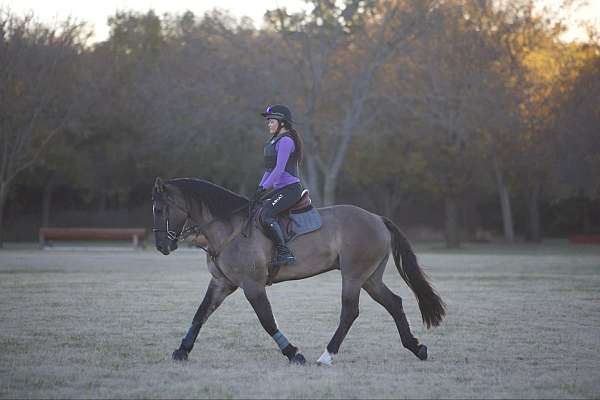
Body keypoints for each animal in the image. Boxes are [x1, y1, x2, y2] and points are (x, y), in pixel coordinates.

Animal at [152, 177, 448, 366]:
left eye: (161, 208)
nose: (162, 246)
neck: (228, 229)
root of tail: (377, 218)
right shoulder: (221, 283)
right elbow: (200, 314)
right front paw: (182, 351)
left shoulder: (252, 285)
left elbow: (267, 321)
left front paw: (293, 353)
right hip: (370, 278)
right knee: (394, 303)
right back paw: (416, 348)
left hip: (353, 276)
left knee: (350, 312)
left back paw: (327, 356)